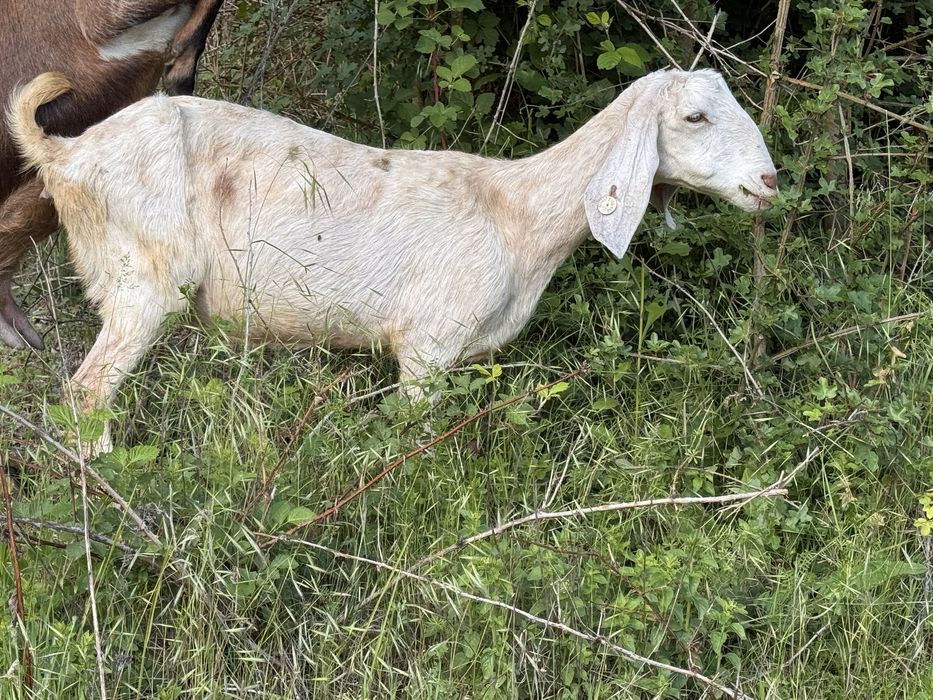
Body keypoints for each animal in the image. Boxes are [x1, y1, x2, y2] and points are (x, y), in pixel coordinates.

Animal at [10, 69, 777, 450]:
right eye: (694, 117)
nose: (768, 181)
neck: (517, 212)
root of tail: (63, 152)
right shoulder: (428, 347)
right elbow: (413, 447)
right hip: (140, 282)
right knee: (85, 393)